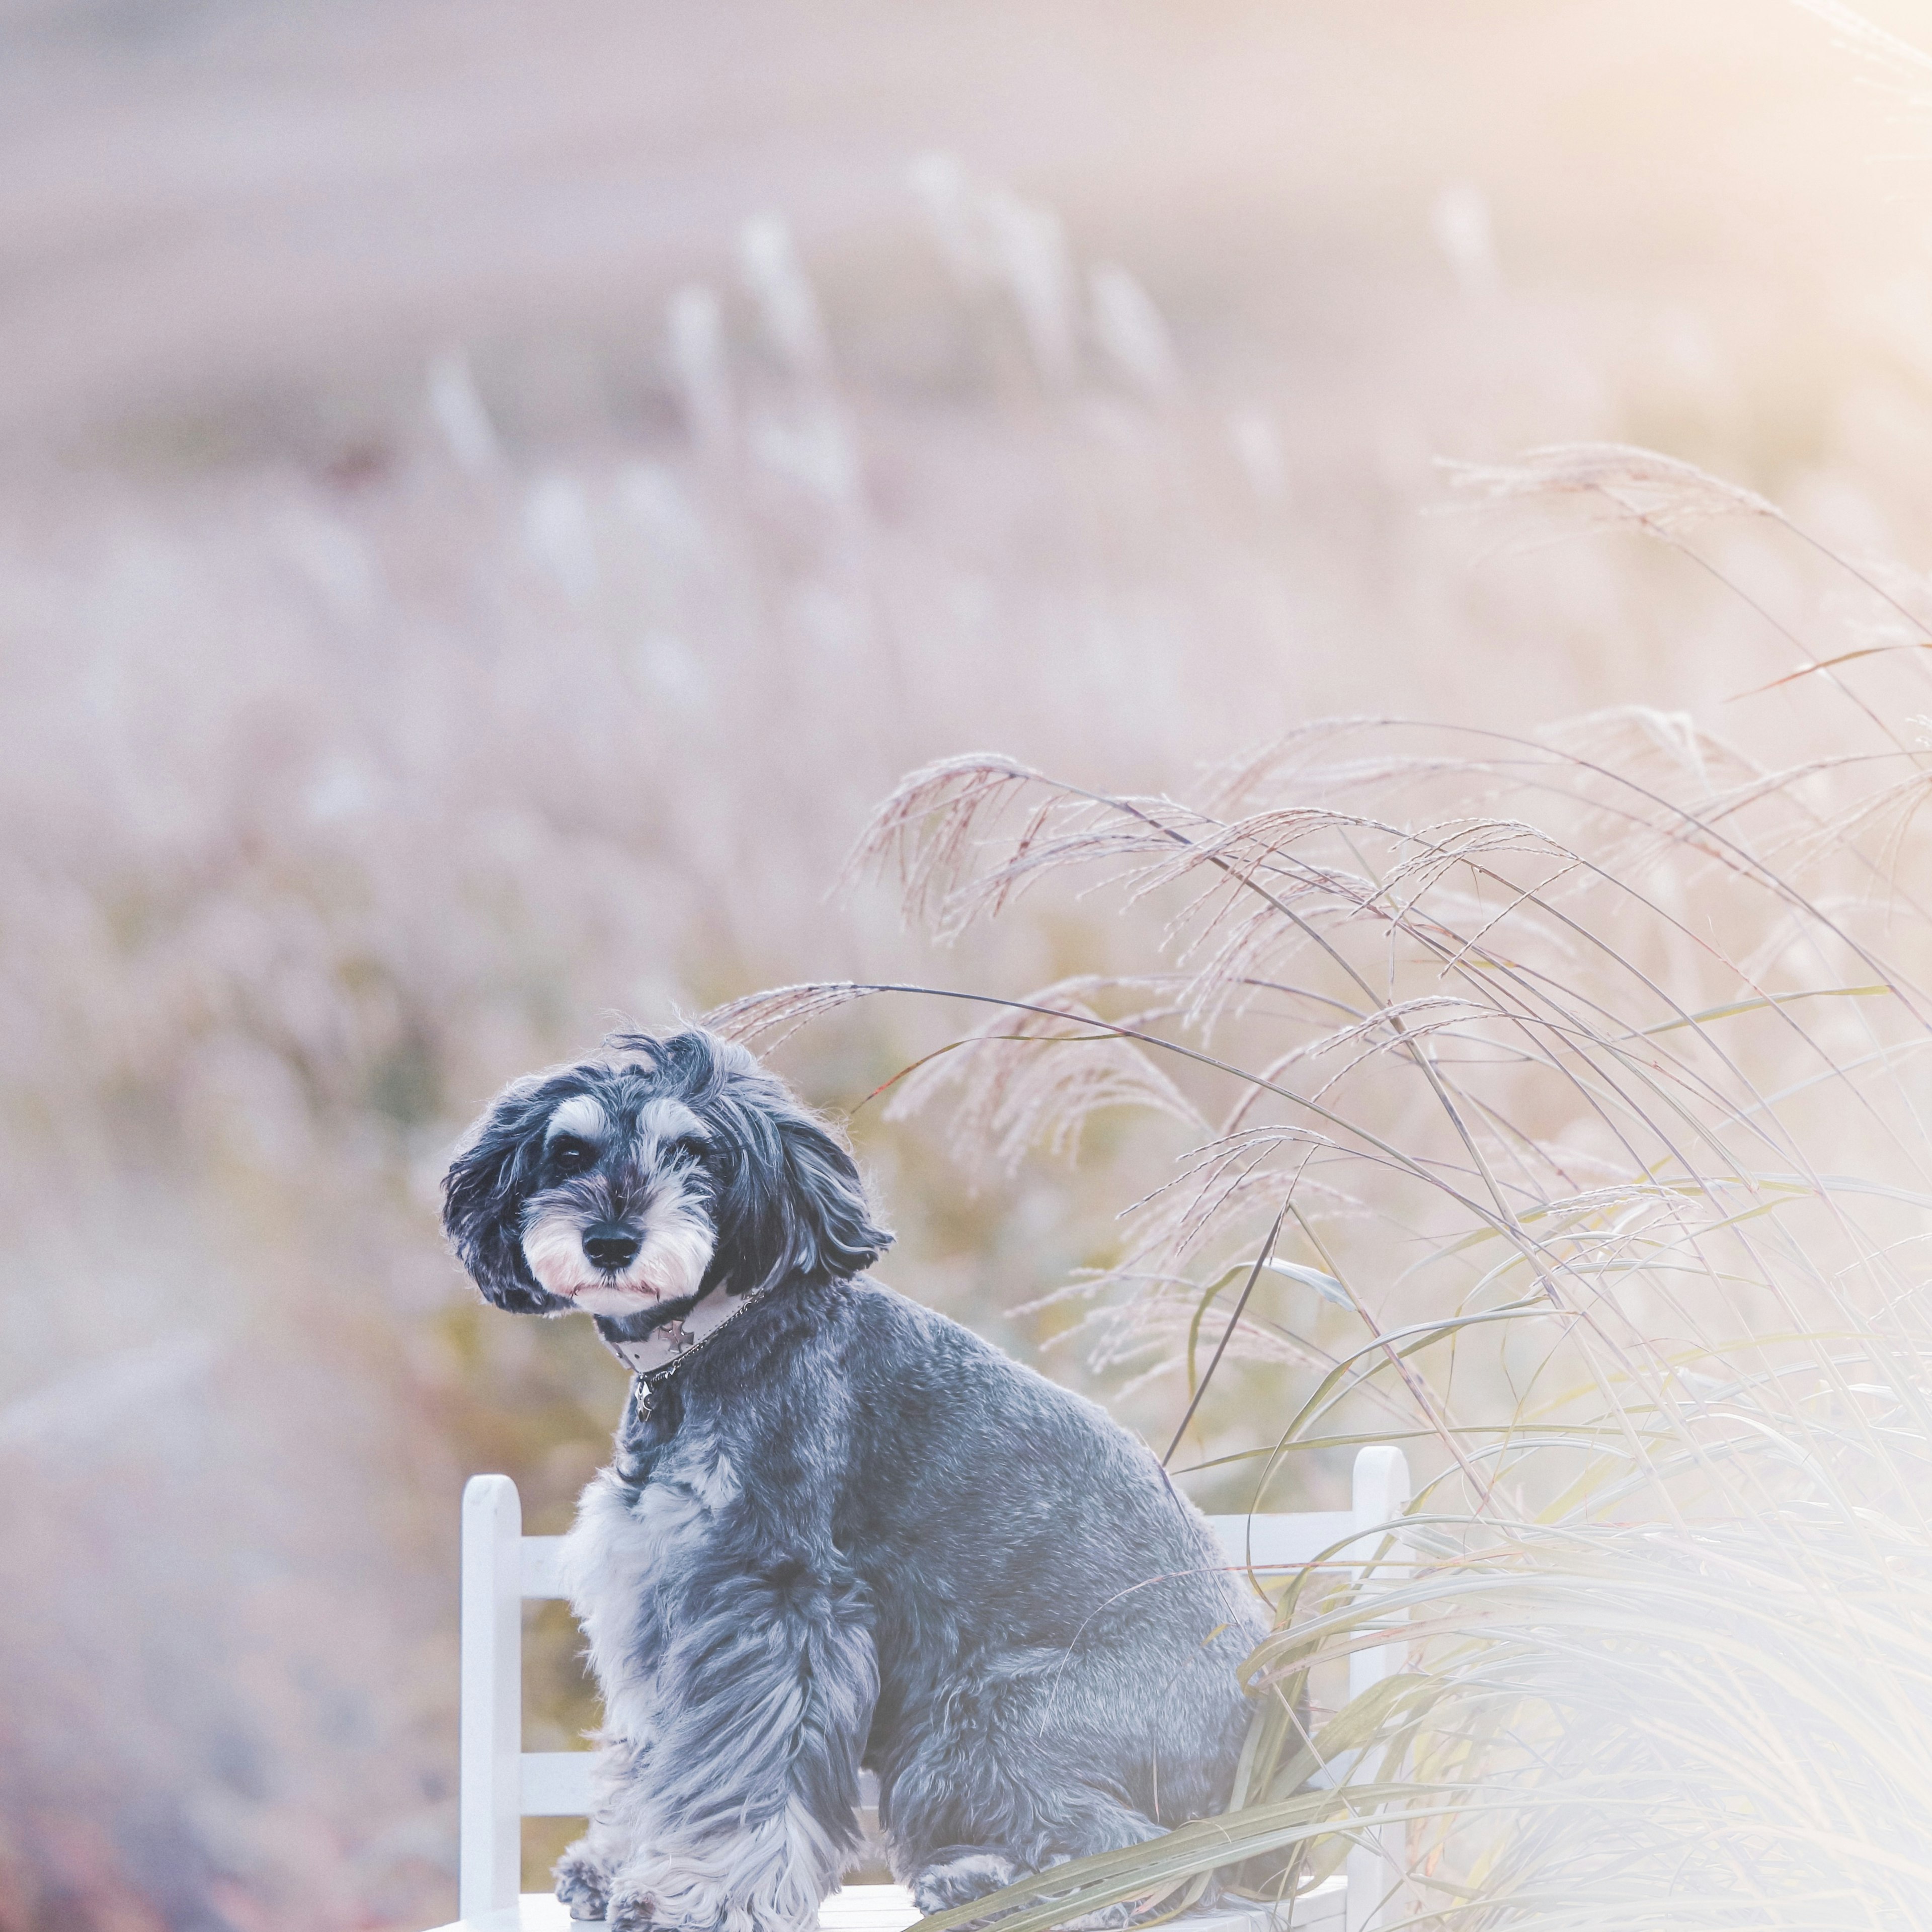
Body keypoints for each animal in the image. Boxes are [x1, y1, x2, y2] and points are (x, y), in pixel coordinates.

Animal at [446, 1035, 1275, 1932]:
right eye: (570, 1151)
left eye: (695, 1152)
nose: (609, 1240)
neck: (715, 1339)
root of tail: (1275, 1725)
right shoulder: (655, 1587)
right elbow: (655, 1751)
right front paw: (615, 1865)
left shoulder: (771, 1601)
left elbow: (744, 1775)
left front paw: (703, 1892)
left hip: (989, 1716)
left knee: (1152, 1862)